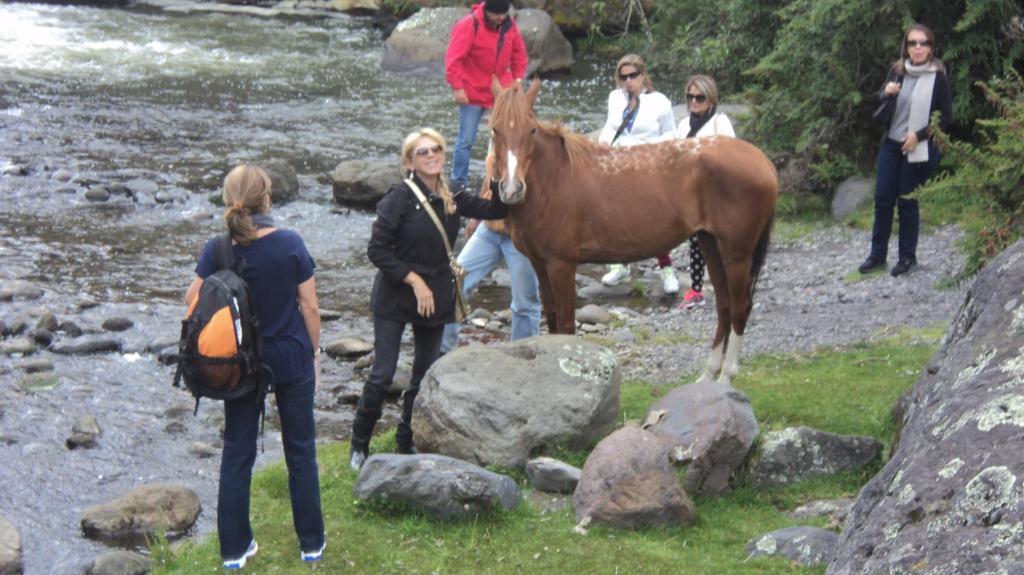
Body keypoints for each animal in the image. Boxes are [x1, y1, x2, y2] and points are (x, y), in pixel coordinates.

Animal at [487, 76, 774, 380]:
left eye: (531, 129)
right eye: (494, 129)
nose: (512, 189)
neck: (554, 178)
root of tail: (763, 162)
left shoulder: (561, 265)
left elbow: (565, 325)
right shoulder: (540, 264)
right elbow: (552, 320)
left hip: (737, 255)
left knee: (740, 307)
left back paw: (726, 378)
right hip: (711, 245)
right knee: (724, 306)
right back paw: (708, 377)